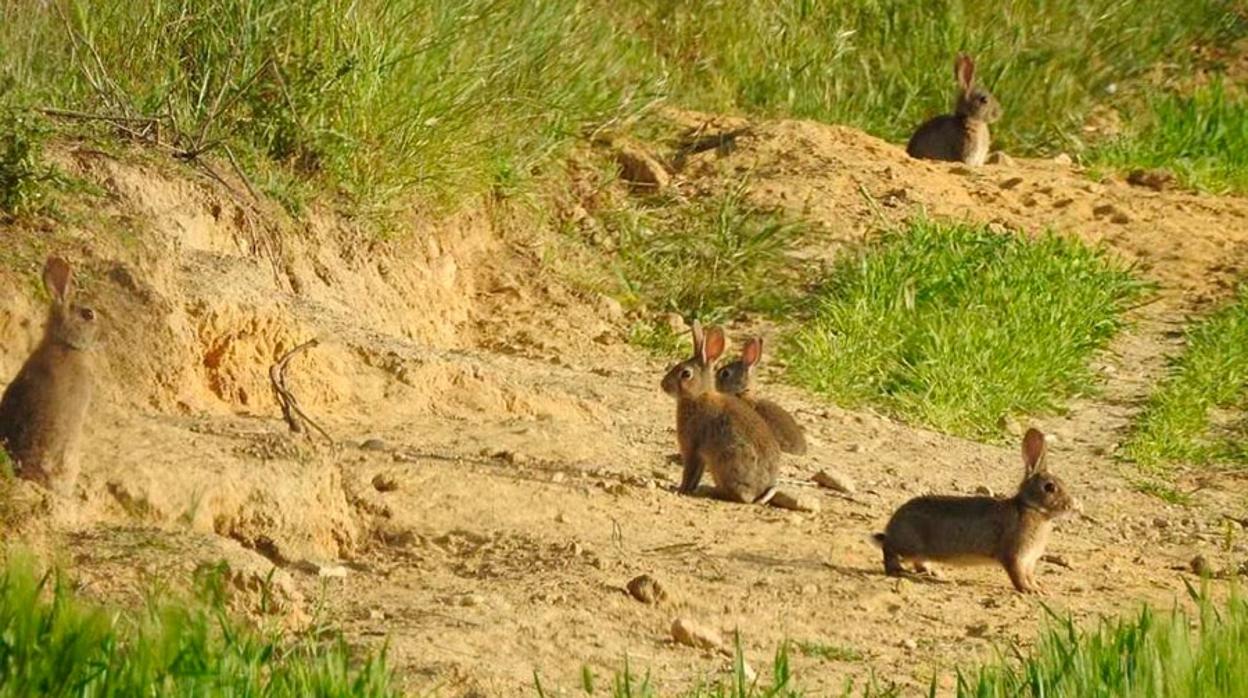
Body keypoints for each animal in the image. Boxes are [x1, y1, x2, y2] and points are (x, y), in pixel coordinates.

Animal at [663, 319, 778, 504]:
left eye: (686, 374)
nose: (663, 385)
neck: (698, 396)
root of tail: (763, 491)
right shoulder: (701, 455)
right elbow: (696, 475)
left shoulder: (692, 447)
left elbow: (689, 472)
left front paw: (679, 490)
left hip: (728, 460)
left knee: (741, 496)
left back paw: (710, 491)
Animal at [873, 429, 1078, 591]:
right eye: (1049, 487)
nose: (1071, 505)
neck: (1030, 508)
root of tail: (892, 526)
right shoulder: (1014, 555)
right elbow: (1017, 575)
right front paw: (1030, 591)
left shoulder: (1029, 561)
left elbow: (1029, 575)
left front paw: (1038, 588)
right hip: (908, 544)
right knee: (888, 549)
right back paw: (897, 570)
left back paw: (932, 571)